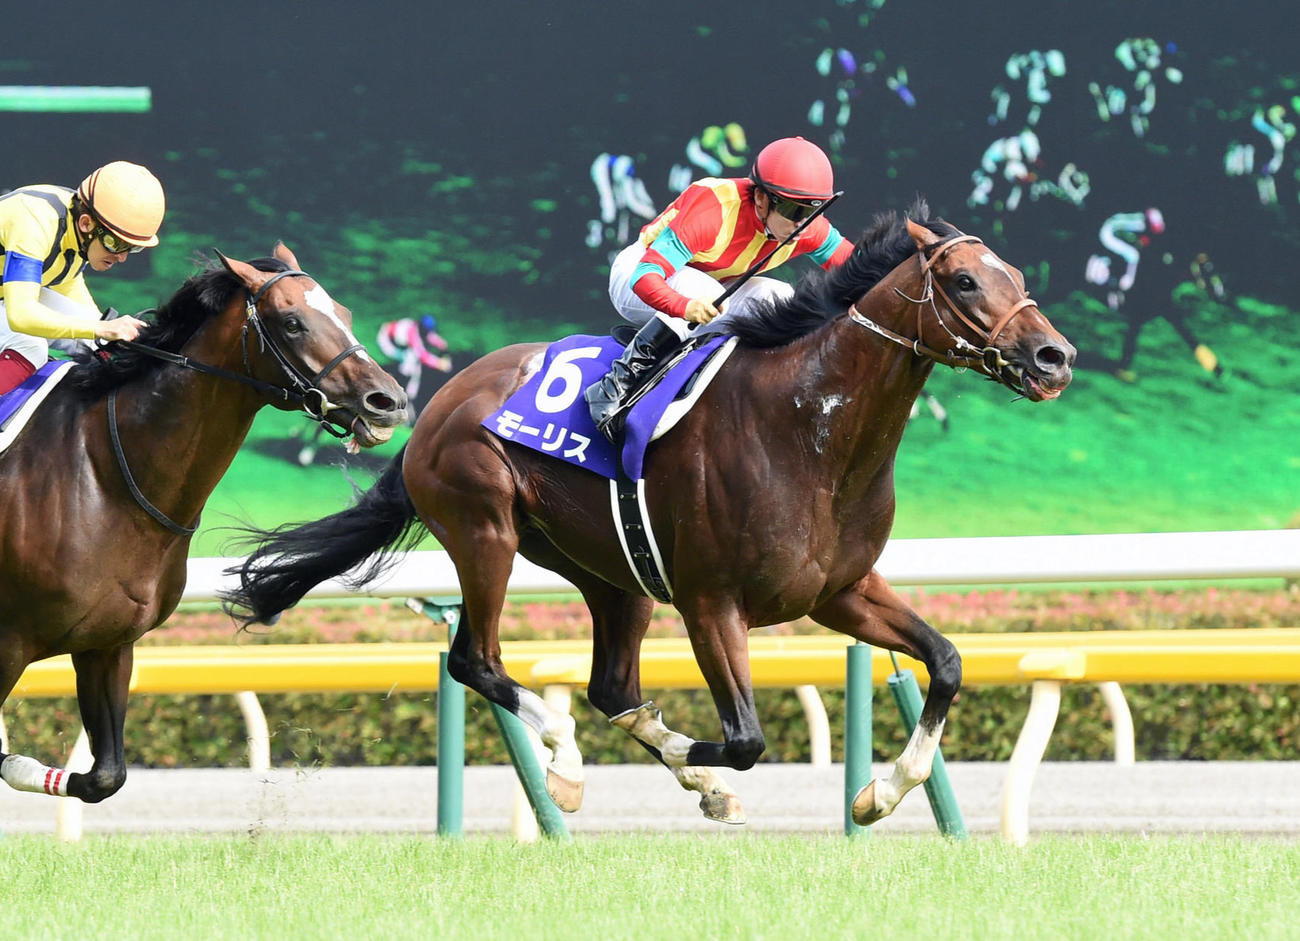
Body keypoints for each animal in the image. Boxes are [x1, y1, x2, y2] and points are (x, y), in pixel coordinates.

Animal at [0, 242, 408, 803]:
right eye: (292, 322)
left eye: (344, 314)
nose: (387, 401)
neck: (104, 474)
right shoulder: (8, 643)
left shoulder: (108, 642)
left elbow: (106, 776)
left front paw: (21, 764)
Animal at [222, 202, 1075, 827]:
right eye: (964, 281)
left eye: (1014, 272)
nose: (1054, 356)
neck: (810, 428)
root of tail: (434, 406)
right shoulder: (710, 601)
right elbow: (744, 739)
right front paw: (707, 775)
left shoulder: (840, 591)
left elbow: (948, 662)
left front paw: (879, 792)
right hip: (483, 527)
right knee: (478, 660)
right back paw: (565, 763)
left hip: (610, 570)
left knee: (609, 686)